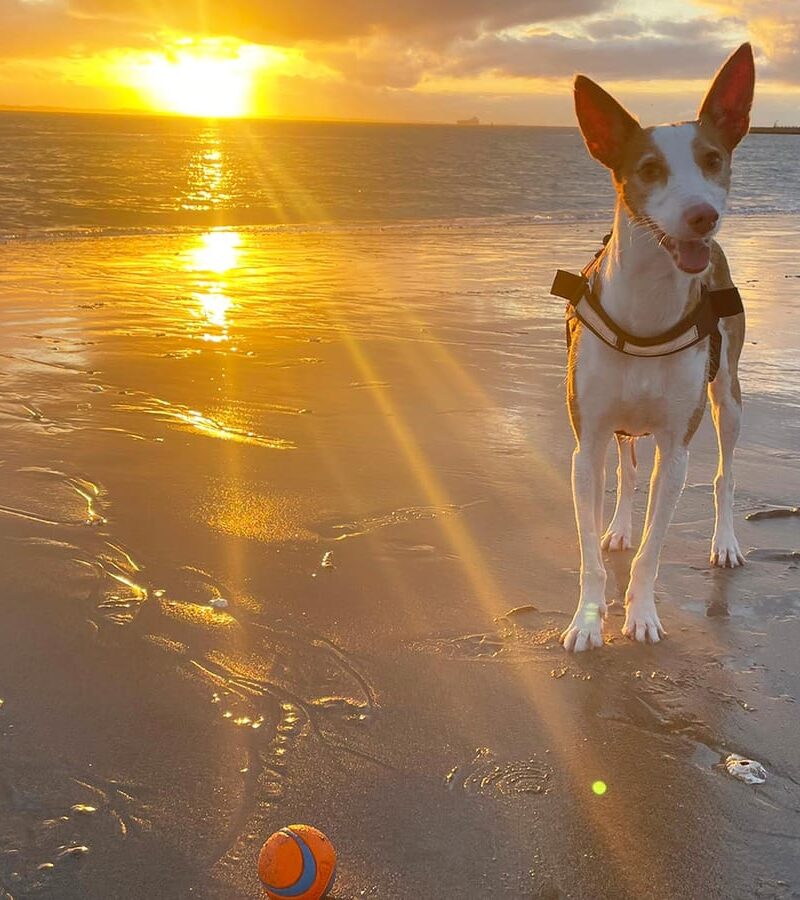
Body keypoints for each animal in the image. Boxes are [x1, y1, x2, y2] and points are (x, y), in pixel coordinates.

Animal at [556, 45, 756, 652]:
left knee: (725, 475)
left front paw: (641, 614)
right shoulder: (587, 444)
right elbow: (590, 550)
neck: (647, 309)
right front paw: (587, 620)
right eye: (648, 170)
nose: (703, 217)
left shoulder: (676, 448)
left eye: (713, 160)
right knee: (625, 472)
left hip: (727, 395)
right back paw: (620, 524)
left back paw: (725, 542)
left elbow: (653, 550)